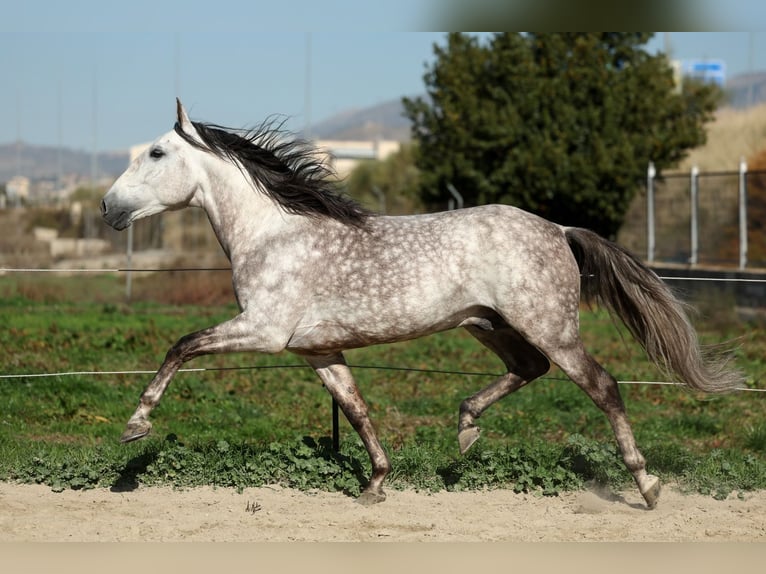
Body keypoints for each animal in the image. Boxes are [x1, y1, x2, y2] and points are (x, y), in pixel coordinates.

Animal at [102, 101, 744, 510]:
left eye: (155, 153)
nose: (108, 206)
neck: (273, 234)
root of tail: (559, 229)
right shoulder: (316, 350)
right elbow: (356, 409)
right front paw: (376, 484)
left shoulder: (263, 330)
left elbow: (182, 346)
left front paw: (136, 426)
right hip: (489, 324)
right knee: (526, 369)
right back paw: (465, 428)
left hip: (549, 327)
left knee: (603, 387)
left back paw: (647, 486)